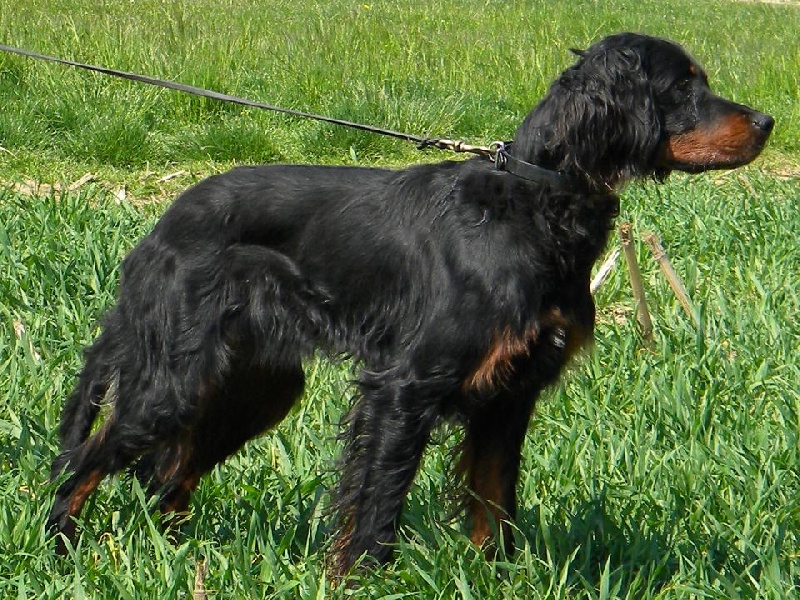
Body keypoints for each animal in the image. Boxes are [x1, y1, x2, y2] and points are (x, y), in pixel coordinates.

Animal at [47, 32, 773, 574]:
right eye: (682, 86)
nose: (767, 121)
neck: (535, 202)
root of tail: (160, 228)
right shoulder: (405, 387)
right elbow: (380, 501)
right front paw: (363, 579)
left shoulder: (511, 395)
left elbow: (493, 499)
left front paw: (498, 577)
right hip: (173, 378)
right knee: (83, 462)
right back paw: (59, 550)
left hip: (256, 386)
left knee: (166, 475)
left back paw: (176, 555)